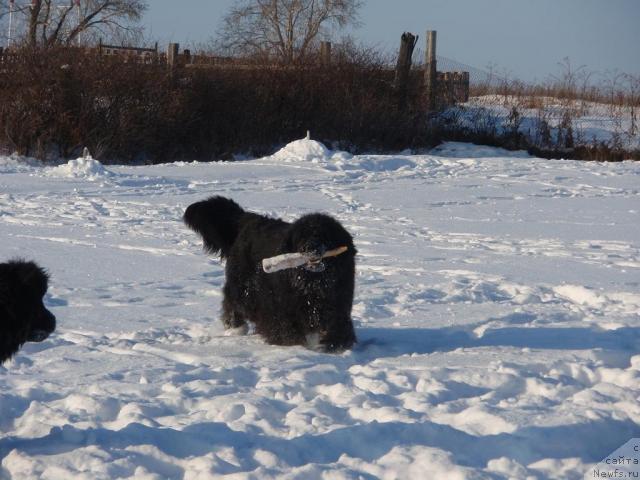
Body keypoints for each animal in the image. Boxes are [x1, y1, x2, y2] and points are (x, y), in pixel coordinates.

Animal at [182, 196, 358, 352]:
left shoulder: (337, 304)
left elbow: (338, 328)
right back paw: (236, 328)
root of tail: (249, 220)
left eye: (324, 235)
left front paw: (332, 345)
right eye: (301, 237)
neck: (312, 282)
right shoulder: (283, 309)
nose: (309, 248)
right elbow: (286, 331)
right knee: (233, 301)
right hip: (244, 288)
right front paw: (296, 348)